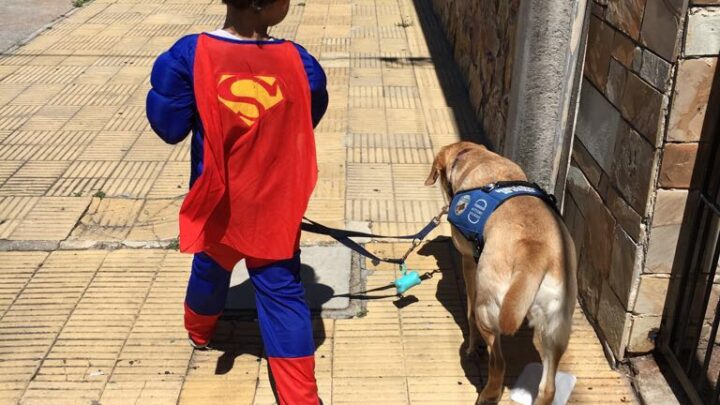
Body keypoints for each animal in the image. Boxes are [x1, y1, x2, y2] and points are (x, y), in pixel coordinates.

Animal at [424, 140, 576, 402]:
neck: (473, 156)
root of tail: (534, 253)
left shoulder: (469, 261)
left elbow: (468, 311)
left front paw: (473, 347)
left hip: (487, 309)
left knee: (498, 365)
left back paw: (487, 394)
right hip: (556, 327)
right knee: (548, 387)